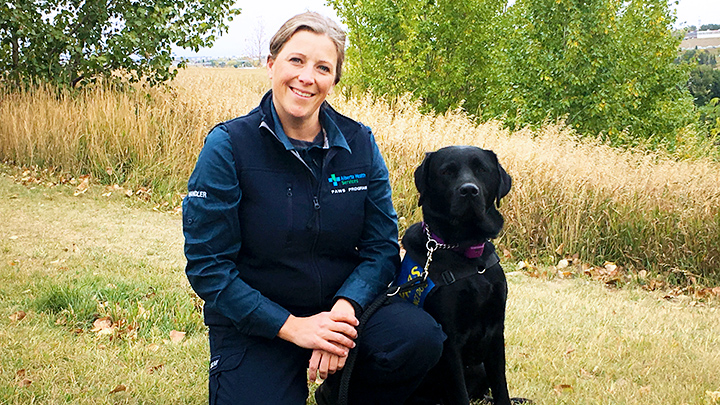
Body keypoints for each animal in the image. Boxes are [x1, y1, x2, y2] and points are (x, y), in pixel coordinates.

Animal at [400, 145, 524, 404]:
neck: (468, 255)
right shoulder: (451, 339)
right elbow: (460, 393)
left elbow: (501, 387)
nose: (469, 190)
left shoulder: (496, 331)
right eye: (446, 171)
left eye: (482, 169)